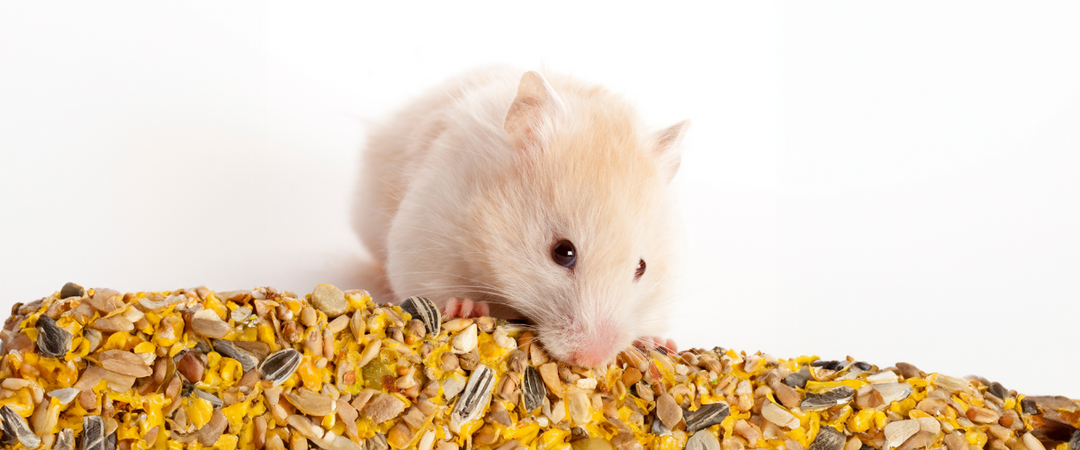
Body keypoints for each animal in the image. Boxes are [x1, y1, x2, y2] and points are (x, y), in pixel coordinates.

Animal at [353, 66, 688, 367]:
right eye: (563, 252)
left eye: (642, 267)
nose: (592, 359)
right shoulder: (426, 238)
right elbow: (436, 289)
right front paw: (467, 308)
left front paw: (659, 343)